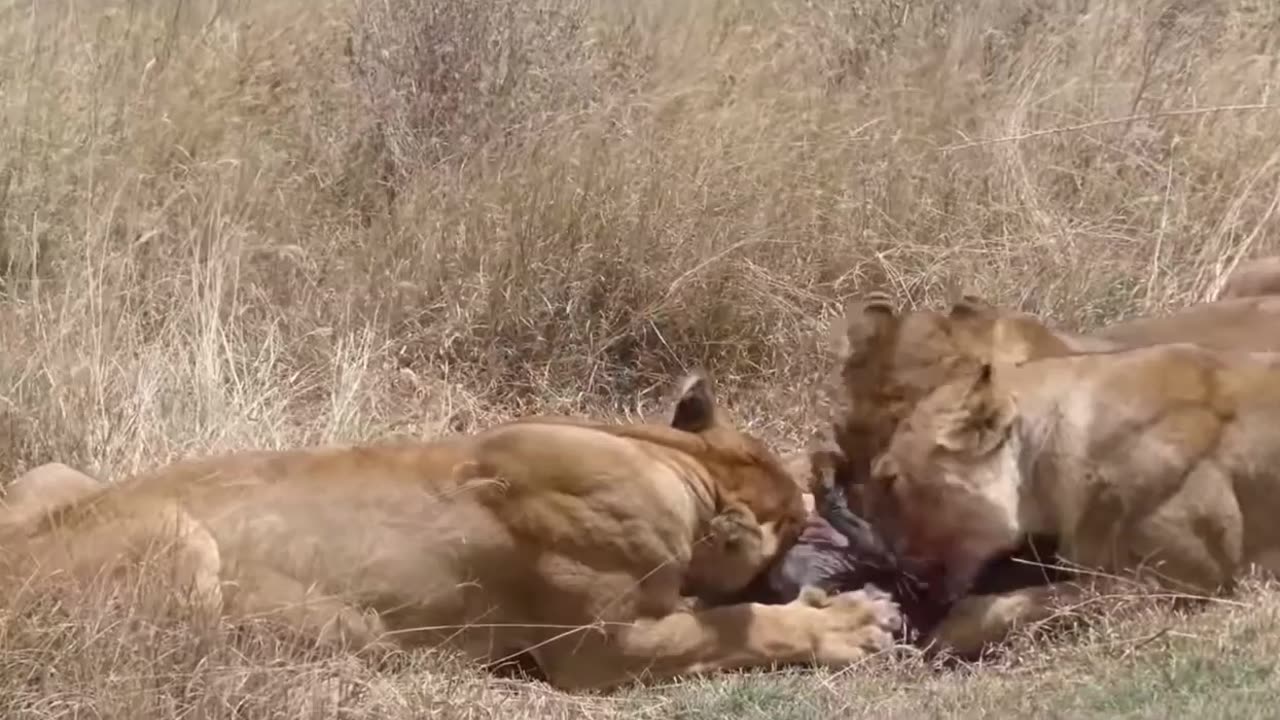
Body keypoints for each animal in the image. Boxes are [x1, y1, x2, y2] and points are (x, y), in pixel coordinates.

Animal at [0, 368, 901, 691]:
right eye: (798, 527)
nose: (842, 550)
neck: (673, 462)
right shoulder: (599, 652)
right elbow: (742, 624)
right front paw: (849, 623)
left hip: (56, 474)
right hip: (175, 532)